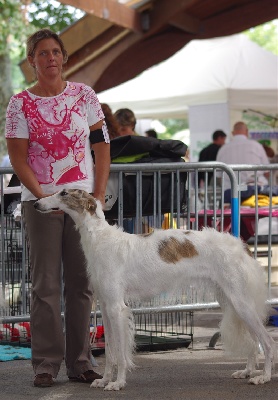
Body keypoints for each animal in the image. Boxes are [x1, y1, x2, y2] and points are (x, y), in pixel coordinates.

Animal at [34, 190, 276, 390]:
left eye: (63, 192)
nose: (36, 203)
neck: (101, 240)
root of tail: (241, 245)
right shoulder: (105, 307)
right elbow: (111, 352)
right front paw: (104, 380)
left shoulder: (117, 308)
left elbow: (120, 353)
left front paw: (118, 383)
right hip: (232, 302)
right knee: (253, 341)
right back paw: (247, 371)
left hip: (240, 302)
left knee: (267, 341)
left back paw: (263, 376)